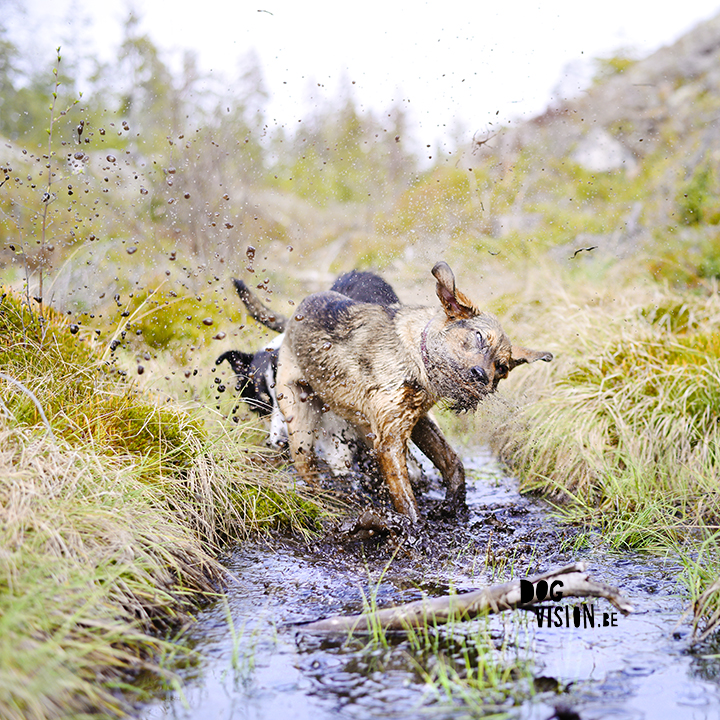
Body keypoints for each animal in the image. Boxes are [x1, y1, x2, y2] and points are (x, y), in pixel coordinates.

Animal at [276, 262, 552, 524]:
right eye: (478, 336)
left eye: (502, 368)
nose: (481, 376)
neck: (416, 357)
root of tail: (300, 309)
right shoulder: (390, 439)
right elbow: (405, 497)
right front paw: (416, 530)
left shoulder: (416, 420)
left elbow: (452, 461)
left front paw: (453, 505)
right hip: (299, 421)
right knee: (306, 467)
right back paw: (323, 498)